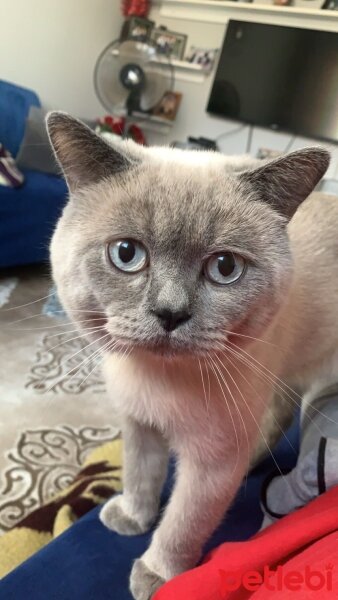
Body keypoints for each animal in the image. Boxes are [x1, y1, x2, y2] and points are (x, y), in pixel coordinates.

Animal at [47, 112, 336, 600]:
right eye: (127, 254)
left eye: (224, 268)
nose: (170, 313)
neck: (156, 381)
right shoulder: (139, 424)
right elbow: (140, 476)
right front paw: (132, 517)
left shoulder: (210, 461)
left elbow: (183, 524)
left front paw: (157, 575)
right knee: (276, 416)